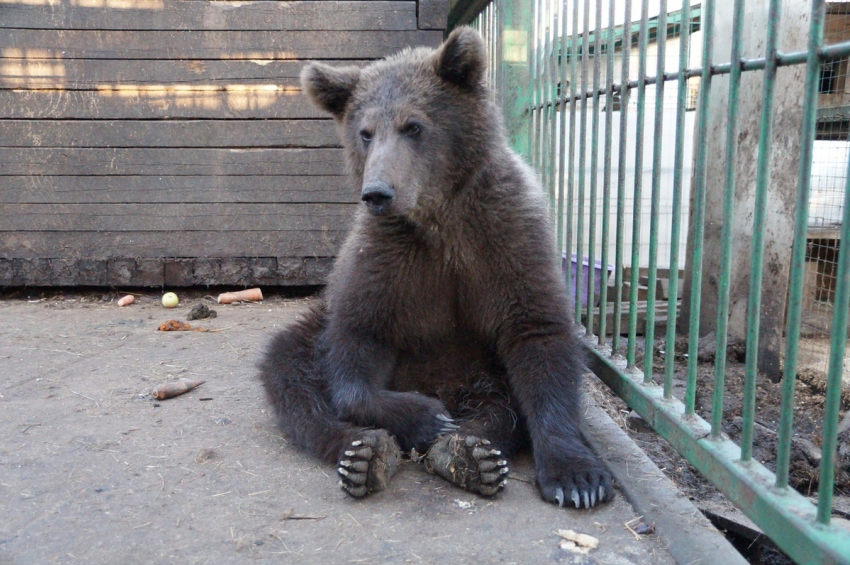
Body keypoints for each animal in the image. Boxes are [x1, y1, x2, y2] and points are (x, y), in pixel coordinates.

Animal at [255, 28, 612, 508]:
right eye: (365, 132)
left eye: (414, 126)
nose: (377, 193)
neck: (439, 219)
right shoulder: (386, 259)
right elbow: (356, 342)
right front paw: (424, 417)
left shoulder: (507, 238)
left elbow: (538, 335)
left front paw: (577, 477)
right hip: (313, 331)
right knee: (292, 377)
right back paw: (365, 453)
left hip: (482, 370)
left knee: (503, 407)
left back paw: (471, 452)